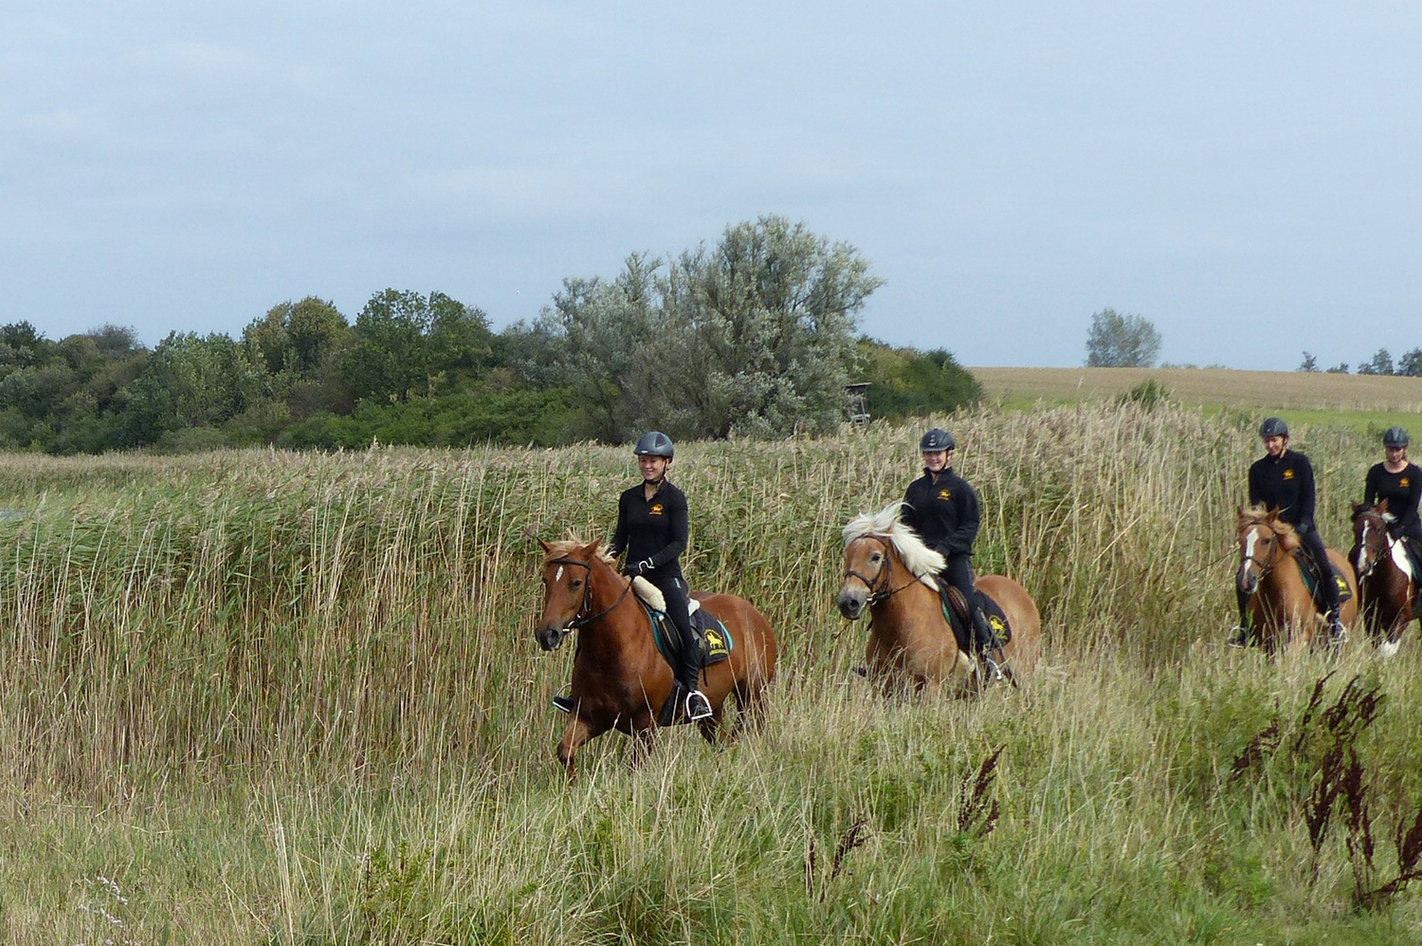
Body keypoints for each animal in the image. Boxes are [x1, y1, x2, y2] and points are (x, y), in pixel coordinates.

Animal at [534, 534, 779, 779]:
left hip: (753, 695)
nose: (547, 634)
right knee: (722, 743)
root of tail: (752, 612)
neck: (611, 651)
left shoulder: (645, 726)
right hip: (712, 710)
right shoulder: (588, 717)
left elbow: (634, 770)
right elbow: (565, 751)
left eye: (576, 583)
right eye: (546, 580)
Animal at [830, 500, 1046, 694]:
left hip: (1023, 673)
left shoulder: (931, 687)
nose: (848, 602)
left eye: (875, 557)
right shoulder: (883, 688)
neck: (899, 625)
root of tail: (1021, 592)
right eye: (847, 555)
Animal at [1348, 500, 1416, 657]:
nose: (1363, 565)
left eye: (1378, 529)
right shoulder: (1371, 617)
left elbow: (1387, 649)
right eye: (1355, 529)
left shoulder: (1403, 616)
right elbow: (1377, 646)